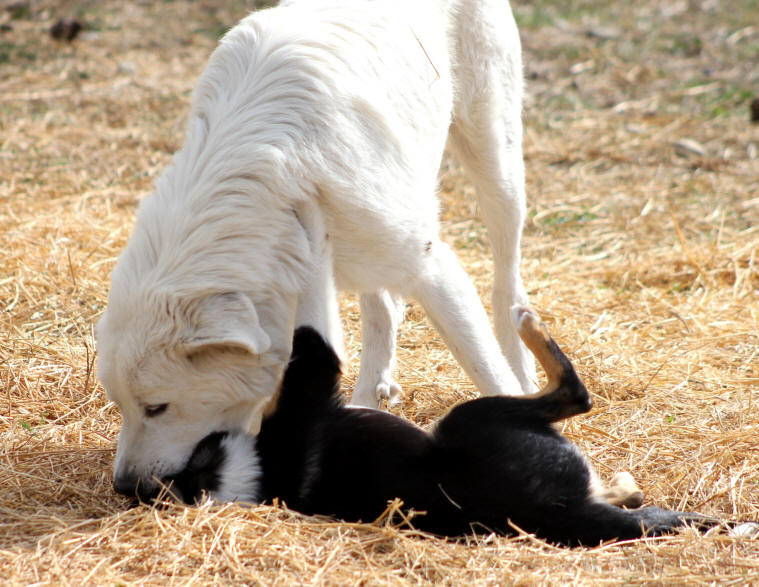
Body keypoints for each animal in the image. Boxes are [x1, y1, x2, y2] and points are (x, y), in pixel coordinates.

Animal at [98, 0, 536, 498]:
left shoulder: (432, 268)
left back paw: (521, 363)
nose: (125, 485)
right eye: (122, 404)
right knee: (381, 309)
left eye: (156, 407)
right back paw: (370, 395)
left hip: (496, 168)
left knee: (506, 284)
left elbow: (484, 366)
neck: (267, 179)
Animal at [163, 308, 716, 548]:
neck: (253, 475)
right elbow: (309, 341)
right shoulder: (311, 381)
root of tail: (559, 511)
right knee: (574, 394)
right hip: (475, 417)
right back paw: (529, 325)